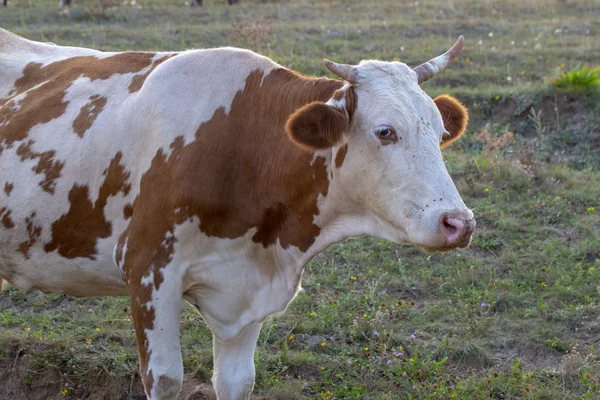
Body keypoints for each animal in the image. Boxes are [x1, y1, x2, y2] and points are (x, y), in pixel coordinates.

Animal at [0, 28, 476, 400]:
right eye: (385, 131)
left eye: (440, 131)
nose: (459, 222)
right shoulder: (148, 269)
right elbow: (165, 378)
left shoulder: (249, 289)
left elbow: (236, 381)